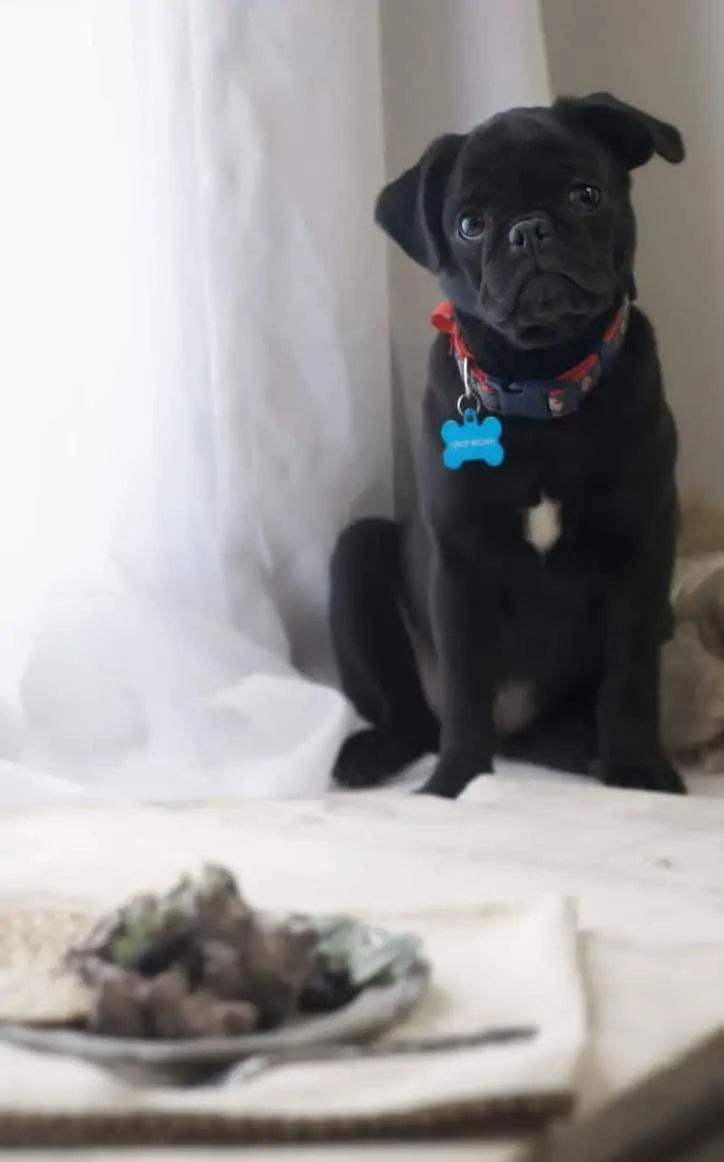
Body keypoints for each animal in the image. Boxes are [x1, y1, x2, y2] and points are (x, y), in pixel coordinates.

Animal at [332, 92, 687, 799]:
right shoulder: (462, 565)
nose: (529, 230)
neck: (542, 384)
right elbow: (467, 689)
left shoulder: (641, 555)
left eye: (586, 195)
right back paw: (373, 754)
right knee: (417, 717)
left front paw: (640, 775)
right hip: (354, 557)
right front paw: (456, 786)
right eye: (470, 224)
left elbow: (631, 679)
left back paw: (593, 754)